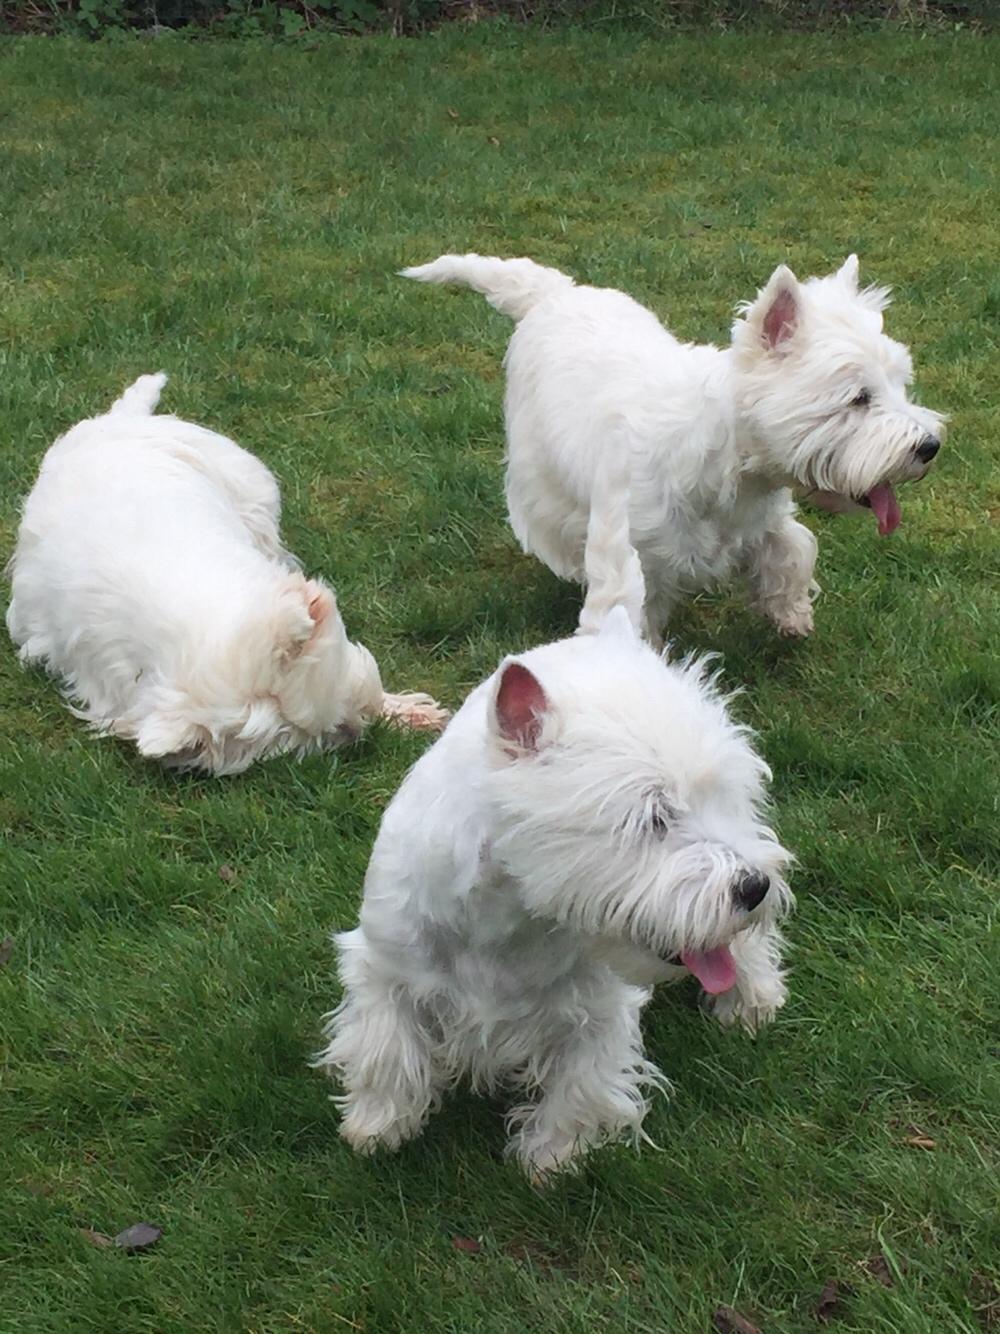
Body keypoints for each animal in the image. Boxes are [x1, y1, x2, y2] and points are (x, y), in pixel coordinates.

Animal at [317, 453, 794, 1184]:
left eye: (717, 796)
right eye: (651, 818)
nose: (752, 889)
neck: (510, 919)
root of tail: (602, 636)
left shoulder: (596, 1008)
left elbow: (582, 1084)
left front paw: (549, 1159)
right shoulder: (386, 965)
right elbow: (385, 1044)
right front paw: (377, 1126)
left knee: (747, 942)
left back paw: (752, 1000)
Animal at [405, 256, 949, 645]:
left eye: (900, 384)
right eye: (858, 397)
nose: (930, 446)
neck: (728, 463)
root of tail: (555, 293)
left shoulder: (762, 519)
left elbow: (790, 550)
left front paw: (791, 614)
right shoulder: (639, 555)